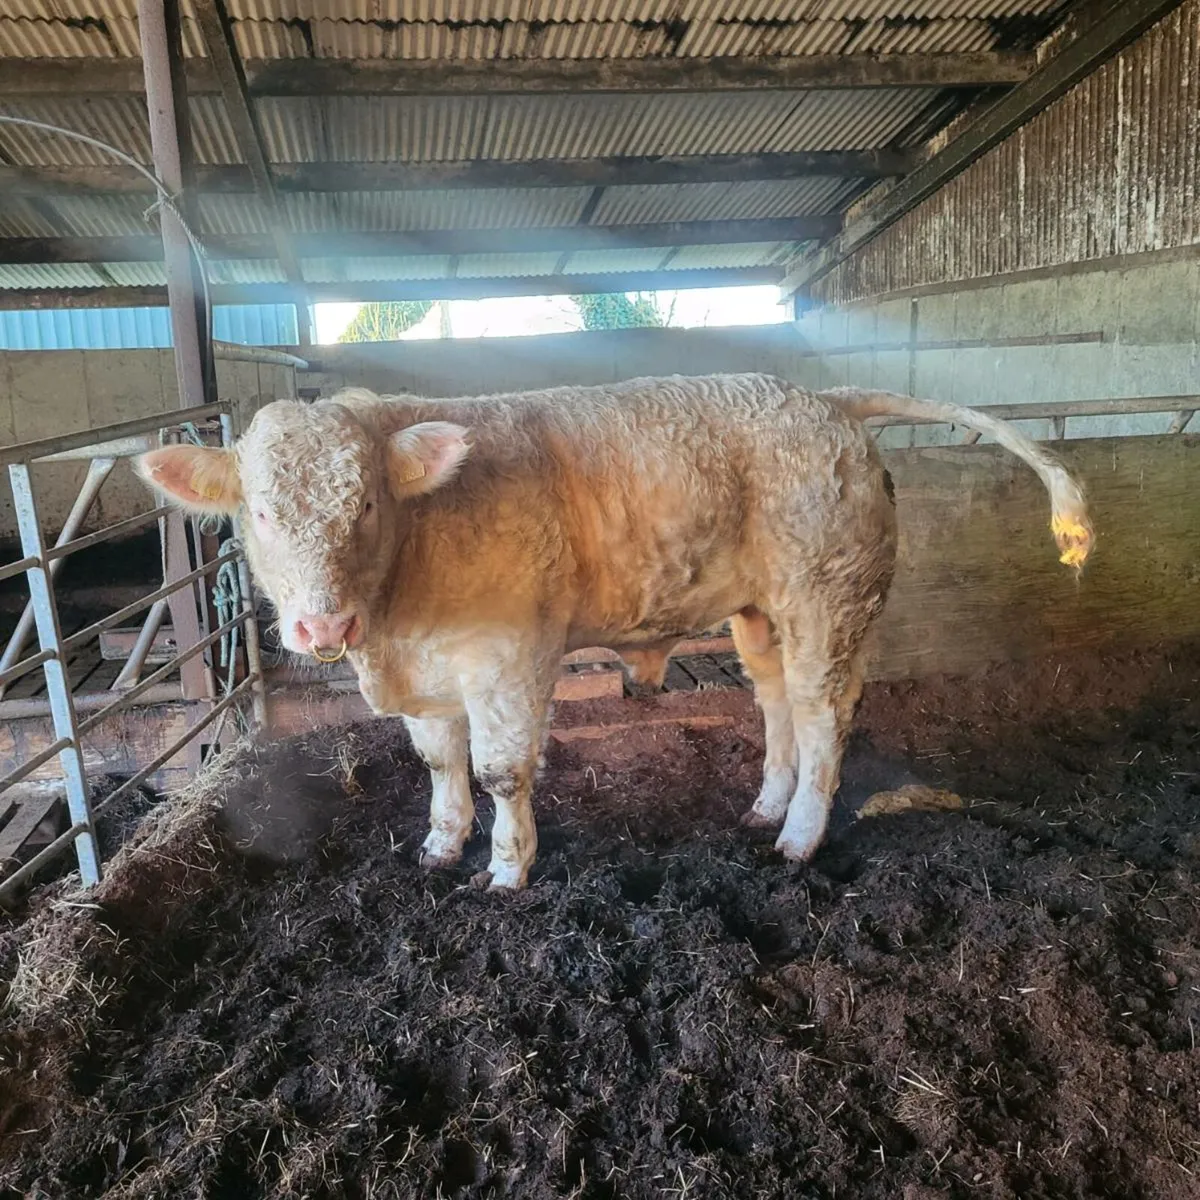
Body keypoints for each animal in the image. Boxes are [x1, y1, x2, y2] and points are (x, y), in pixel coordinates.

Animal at [137, 374, 1092, 890]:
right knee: (777, 700)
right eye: (260, 511)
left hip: (829, 597)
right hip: (760, 612)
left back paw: (799, 836)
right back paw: (765, 805)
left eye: (364, 503)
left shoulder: (511, 658)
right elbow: (440, 763)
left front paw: (507, 867)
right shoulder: (424, 676)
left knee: (825, 714)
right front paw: (440, 847)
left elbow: (500, 770)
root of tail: (822, 399)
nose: (322, 622)